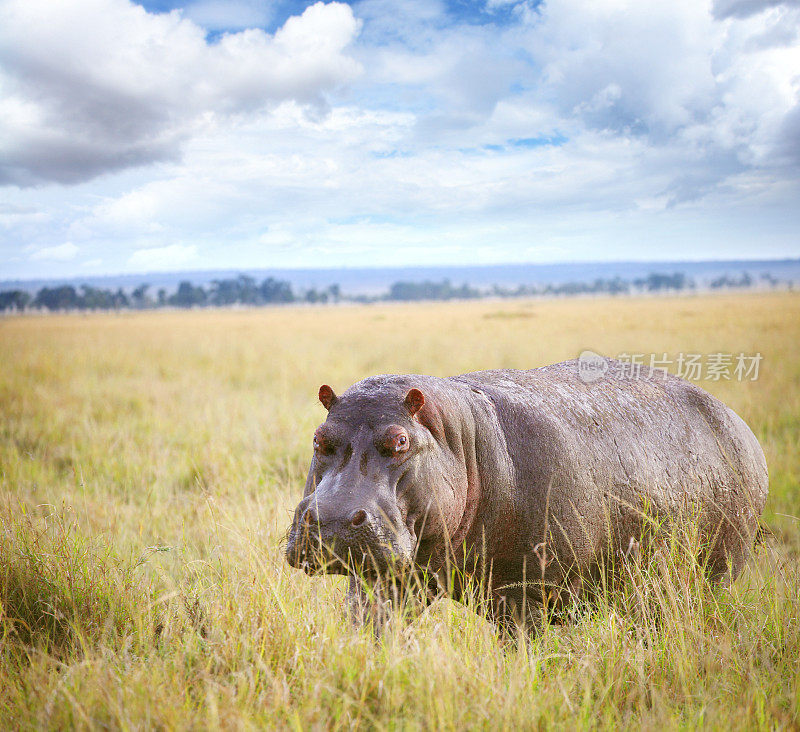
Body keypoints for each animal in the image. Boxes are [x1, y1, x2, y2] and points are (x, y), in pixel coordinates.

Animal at [286, 358, 768, 632]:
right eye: (318, 438)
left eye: (400, 441)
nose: (331, 519)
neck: (461, 438)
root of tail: (736, 420)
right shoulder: (383, 579)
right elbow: (373, 627)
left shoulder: (529, 596)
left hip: (716, 569)